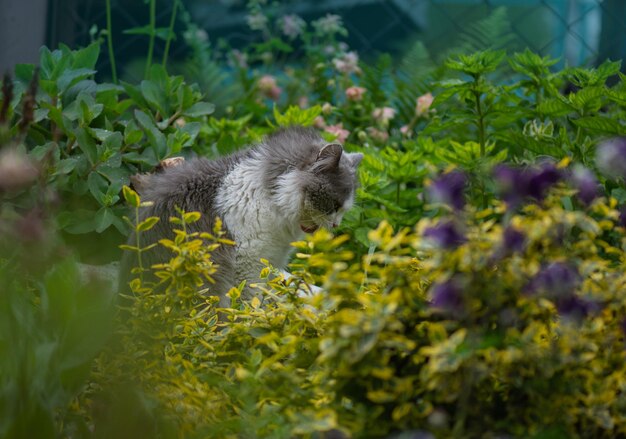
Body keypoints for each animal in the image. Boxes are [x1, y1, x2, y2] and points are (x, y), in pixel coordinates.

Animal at [118, 125, 360, 304]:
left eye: (344, 210)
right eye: (334, 205)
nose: (336, 225)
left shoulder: (273, 260)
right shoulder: (249, 262)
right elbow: (252, 300)